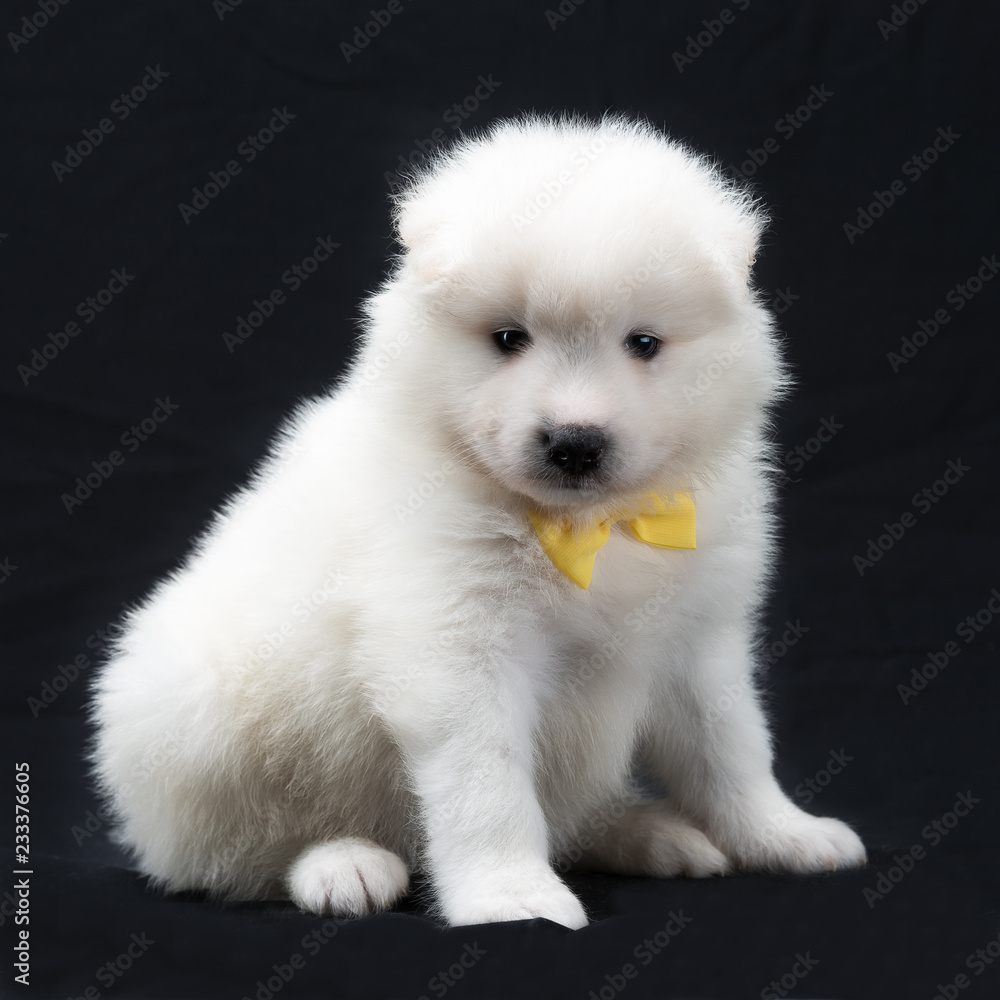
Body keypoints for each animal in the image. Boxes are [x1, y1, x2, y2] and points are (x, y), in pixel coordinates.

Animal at [88, 117, 868, 928]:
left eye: (644, 343)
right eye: (508, 339)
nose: (574, 443)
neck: (588, 527)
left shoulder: (700, 639)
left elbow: (732, 748)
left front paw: (783, 834)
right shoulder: (458, 647)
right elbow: (486, 786)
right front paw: (513, 897)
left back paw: (645, 831)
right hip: (195, 725)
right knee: (247, 852)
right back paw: (343, 863)